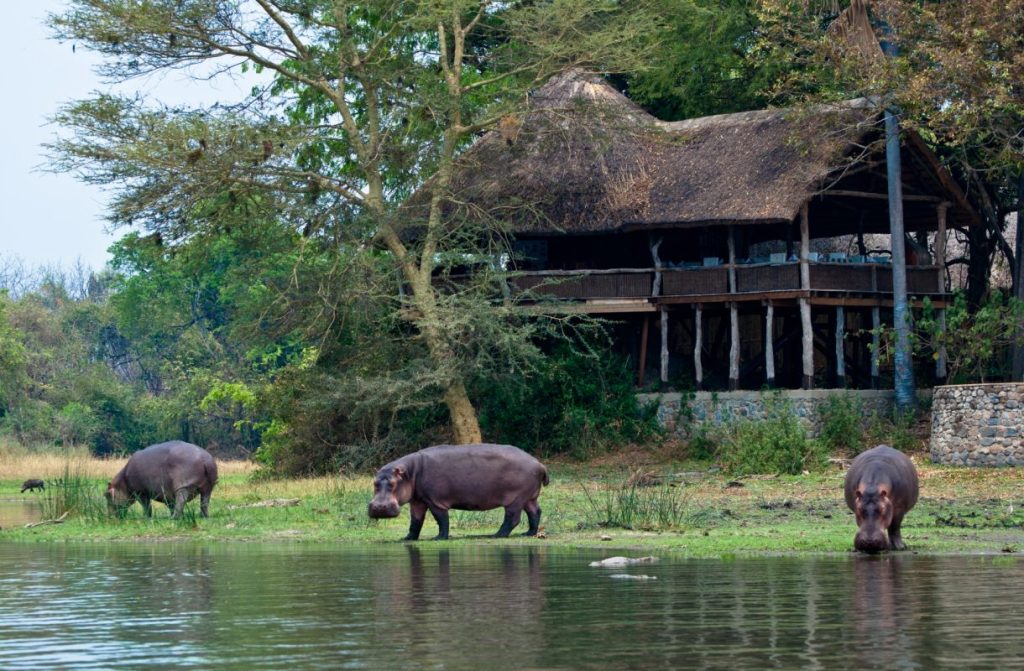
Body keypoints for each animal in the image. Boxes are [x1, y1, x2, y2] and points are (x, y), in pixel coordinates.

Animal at [366, 444, 544, 544]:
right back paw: (529, 533)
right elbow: (415, 521)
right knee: (535, 512)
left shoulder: (435, 501)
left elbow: (441, 520)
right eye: (374, 483)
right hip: (529, 497)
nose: (379, 507)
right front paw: (408, 538)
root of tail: (538, 463)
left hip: (515, 499)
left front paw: (438, 538)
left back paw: (497, 535)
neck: (410, 473)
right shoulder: (417, 501)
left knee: (512, 518)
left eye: (393, 484)